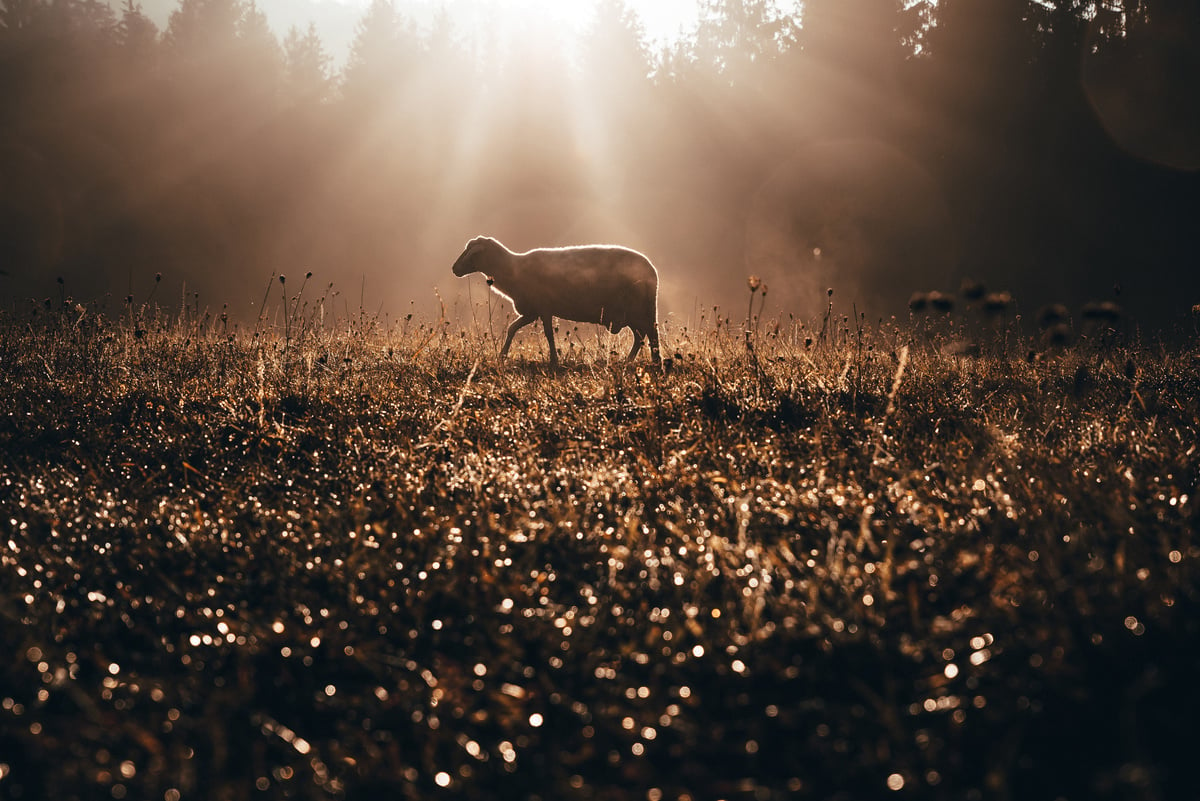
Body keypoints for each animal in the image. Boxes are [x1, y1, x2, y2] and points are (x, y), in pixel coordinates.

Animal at [451, 235, 662, 366]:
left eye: (470, 252)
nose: (454, 269)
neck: (512, 269)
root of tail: (652, 271)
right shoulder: (532, 311)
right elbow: (512, 328)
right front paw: (502, 356)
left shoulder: (543, 308)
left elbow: (548, 334)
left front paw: (553, 360)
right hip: (631, 313)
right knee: (640, 336)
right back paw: (630, 361)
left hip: (639, 309)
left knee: (651, 334)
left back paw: (655, 361)